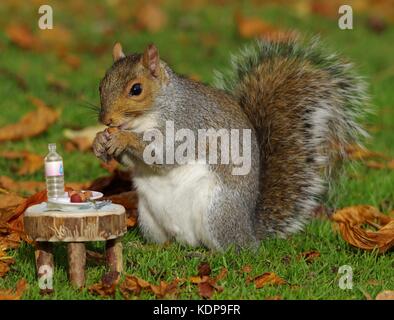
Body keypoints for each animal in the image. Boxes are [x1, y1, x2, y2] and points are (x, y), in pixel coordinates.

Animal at [94, 37, 368, 251]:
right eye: (100, 85)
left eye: (136, 89)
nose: (106, 120)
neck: (145, 117)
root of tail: (249, 230)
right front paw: (100, 141)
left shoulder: (188, 122)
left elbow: (164, 153)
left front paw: (121, 138)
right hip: (149, 218)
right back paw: (145, 246)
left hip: (218, 211)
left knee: (231, 250)